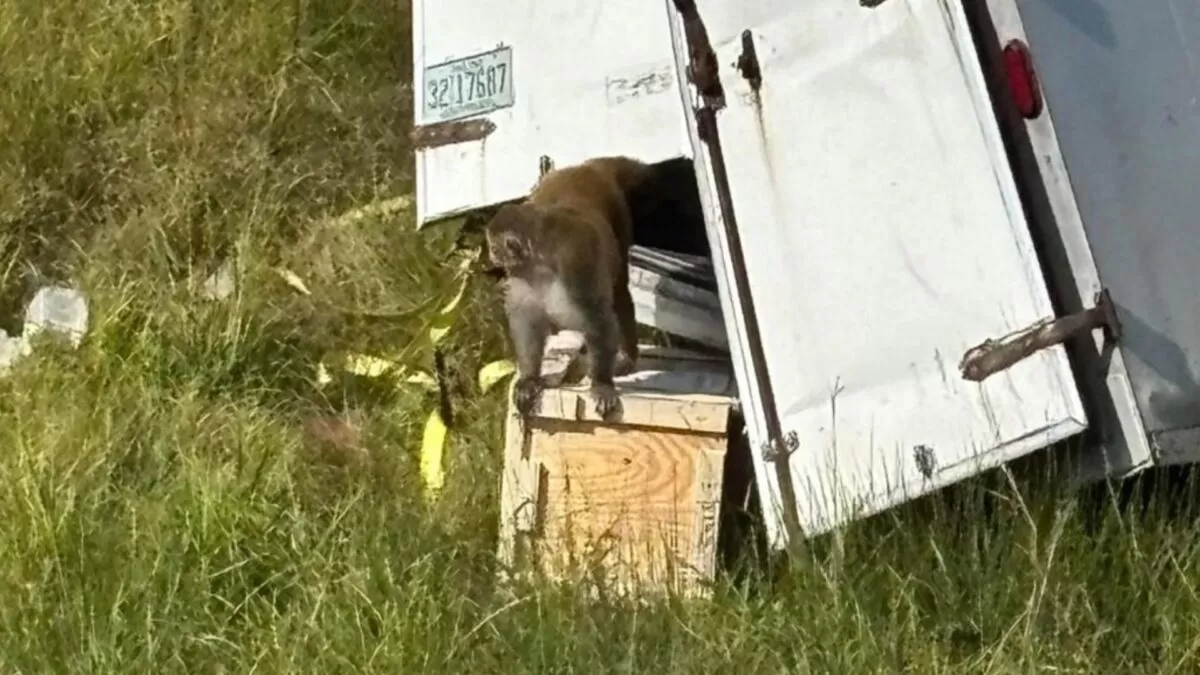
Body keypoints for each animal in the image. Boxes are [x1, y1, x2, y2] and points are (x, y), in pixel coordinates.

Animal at [485, 156, 650, 421]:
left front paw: (602, 384)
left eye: (493, 246)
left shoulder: (575, 264)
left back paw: (627, 355)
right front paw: (529, 378)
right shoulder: (521, 276)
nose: (491, 255)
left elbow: (597, 319)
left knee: (618, 292)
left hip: (618, 216)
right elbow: (527, 322)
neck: (540, 262)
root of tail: (585, 167)